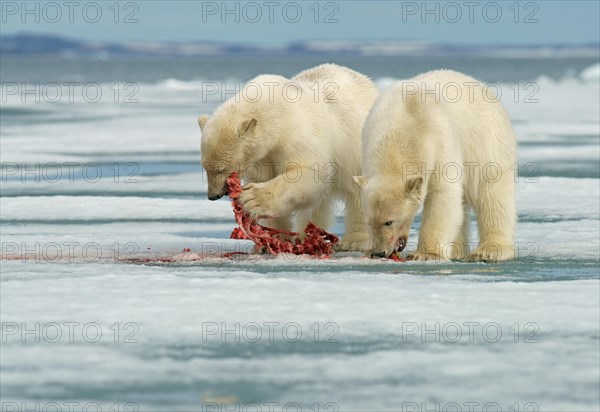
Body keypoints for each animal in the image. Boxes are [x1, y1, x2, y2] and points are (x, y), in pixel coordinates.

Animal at [199, 64, 378, 251]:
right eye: (205, 167)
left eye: (221, 169)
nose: (213, 195)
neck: (278, 111)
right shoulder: (262, 157)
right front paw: (272, 241)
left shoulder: (297, 135)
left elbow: (308, 173)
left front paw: (253, 199)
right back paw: (306, 235)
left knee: (358, 192)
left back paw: (354, 240)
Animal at [354, 68, 516, 260]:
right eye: (369, 222)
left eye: (389, 221)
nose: (379, 252)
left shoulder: (441, 143)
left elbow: (443, 194)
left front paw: (426, 254)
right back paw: (457, 251)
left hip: (488, 140)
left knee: (492, 193)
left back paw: (488, 251)